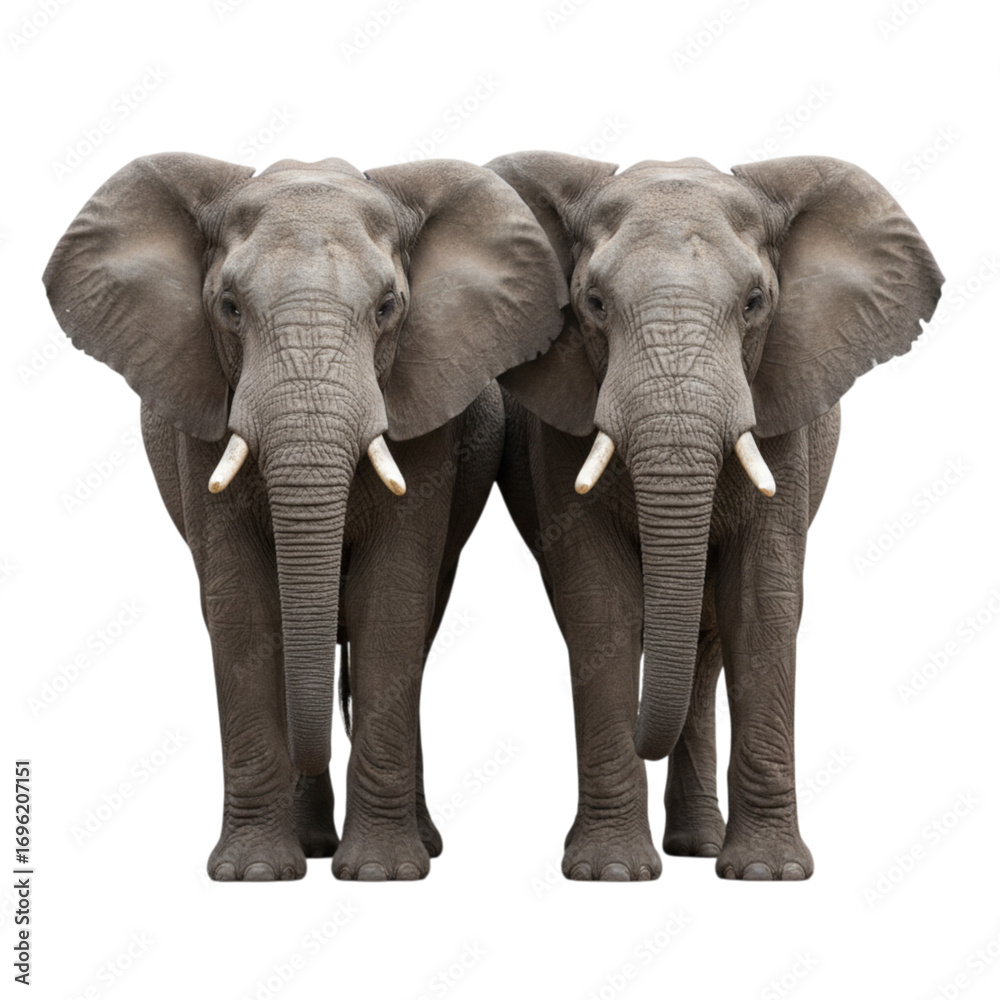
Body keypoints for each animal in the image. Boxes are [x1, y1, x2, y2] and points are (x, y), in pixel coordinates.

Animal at [43, 153, 566, 880]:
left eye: (388, 308)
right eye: (229, 308)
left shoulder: (427, 415)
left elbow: (391, 603)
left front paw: (383, 874)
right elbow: (241, 608)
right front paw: (255, 874)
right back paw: (313, 845)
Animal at [488, 151, 943, 880]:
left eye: (755, 303)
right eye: (593, 304)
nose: (640, 736)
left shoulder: (784, 408)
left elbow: (761, 604)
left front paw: (768, 874)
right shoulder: (559, 430)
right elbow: (598, 605)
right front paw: (609, 873)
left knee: (706, 643)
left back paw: (698, 848)